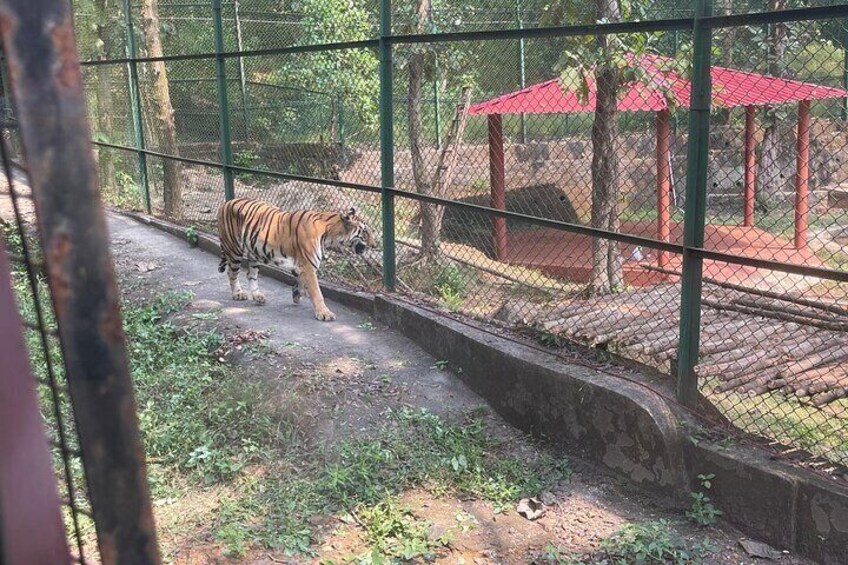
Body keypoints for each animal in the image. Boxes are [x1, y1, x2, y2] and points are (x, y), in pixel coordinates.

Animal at [217, 198, 376, 322]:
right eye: (365, 231)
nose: (375, 245)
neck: (330, 235)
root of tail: (225, 203)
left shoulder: (303, 264)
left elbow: (301, 281)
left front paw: (296, 294)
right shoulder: (309, 264)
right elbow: (317, 291)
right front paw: (324, 313)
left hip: (254, 252)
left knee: (251, 274)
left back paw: (258, 296)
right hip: (235, 249)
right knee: (232, 273)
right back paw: (238, 294)